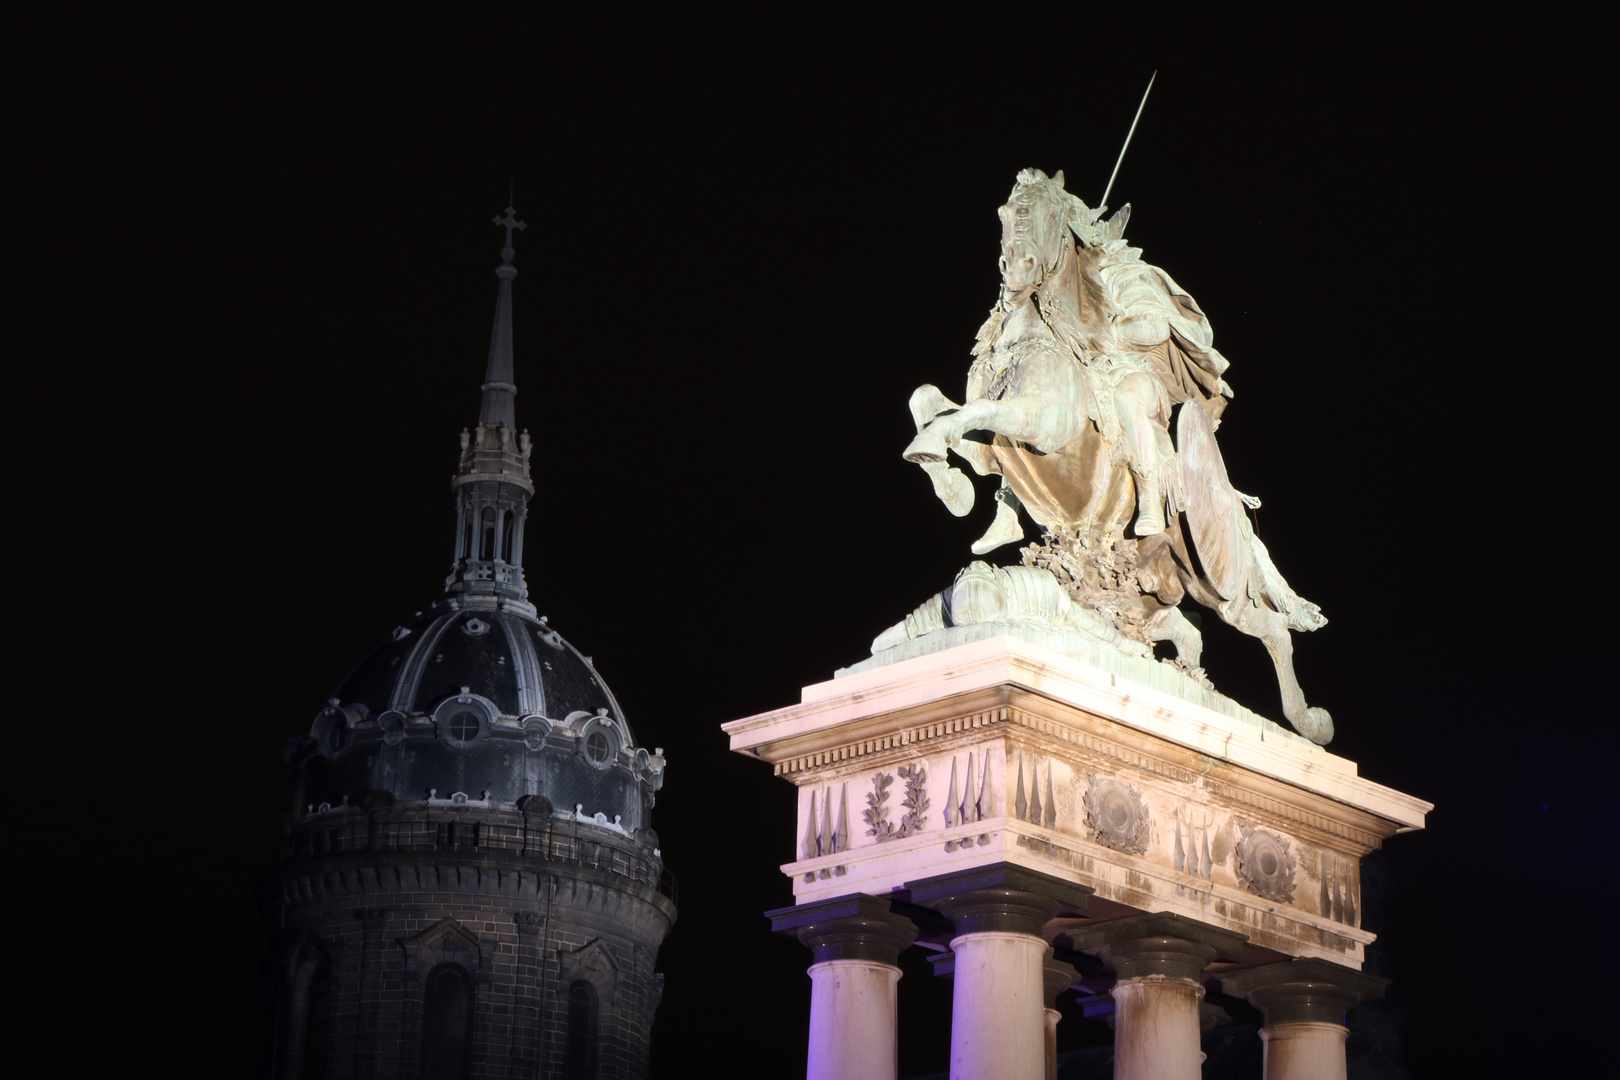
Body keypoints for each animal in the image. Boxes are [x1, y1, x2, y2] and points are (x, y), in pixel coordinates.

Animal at [900, 169, 1328, 748]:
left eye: (1044, 215)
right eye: (1005, 212)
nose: (1016, 270)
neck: (1037, 339)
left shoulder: (1042, 422)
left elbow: (969, 411)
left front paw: (939, 466)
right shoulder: (994, 442)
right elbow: (930, 401)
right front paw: (953, 487)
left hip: (1214, 578)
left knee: (1274, 631)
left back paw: (1305, 726)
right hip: (1165, 582)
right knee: (1186, 629)